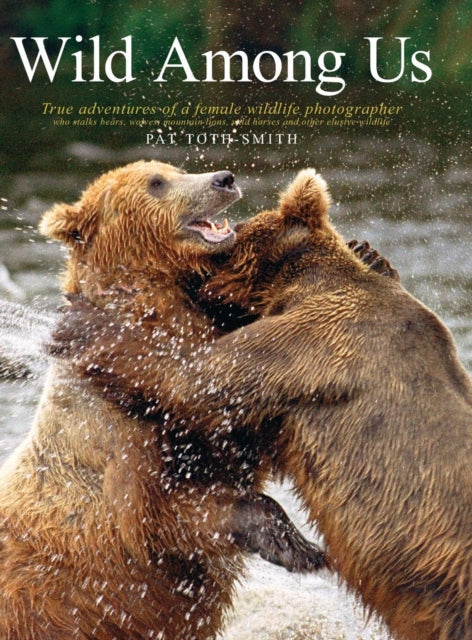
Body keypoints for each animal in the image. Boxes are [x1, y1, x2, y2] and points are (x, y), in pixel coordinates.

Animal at [0, 161, 327, 640]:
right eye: (156, 183)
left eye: (176, 168)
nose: (224, 178)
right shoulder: (116, 444)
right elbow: (160, 518)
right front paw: (298, 547)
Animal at [56, 168, 472, 640]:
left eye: (230, 239)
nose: (194, 280)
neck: (297, 284)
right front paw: (369, 252)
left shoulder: (312, 345)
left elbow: (196, 379)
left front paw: (84, 323)